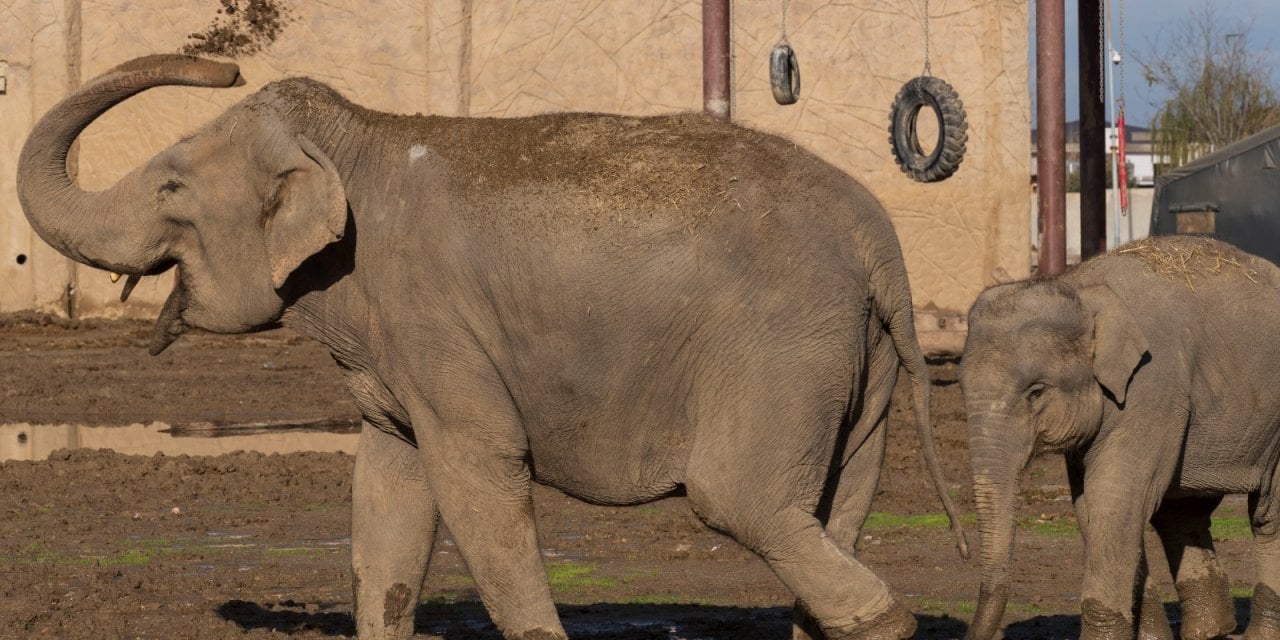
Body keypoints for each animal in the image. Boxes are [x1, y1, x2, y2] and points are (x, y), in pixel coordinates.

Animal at [20, 56, 962, 640]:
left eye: (170, 187)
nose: (226, 65)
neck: (356, 136)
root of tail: (880, 239)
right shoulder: (394, 348)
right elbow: (387, 488)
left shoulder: (432, 318)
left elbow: (478, 467)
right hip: (861, 362)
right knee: (832, 515)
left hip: (783, 350)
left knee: (745, 504)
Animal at [962, 235, 1280, 640]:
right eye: (961, 389)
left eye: (1035, 393)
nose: (997, 632)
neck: (1081, 289)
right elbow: (1094, 506)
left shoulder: (1153, 386)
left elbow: (1115, 498)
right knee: (1182, 513)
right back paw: (1210, 630)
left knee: (1268, 517)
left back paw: (1257, 634)